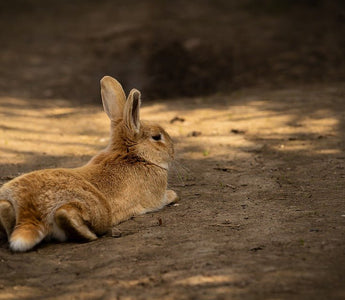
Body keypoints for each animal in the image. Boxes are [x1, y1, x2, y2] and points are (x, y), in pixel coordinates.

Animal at [0, 75, 177, 251]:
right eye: (156, 137)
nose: (173, 151)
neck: (132, 155)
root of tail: (28, 209)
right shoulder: (156, 198)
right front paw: (173, 195)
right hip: (99, 210)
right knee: (68, 216)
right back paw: (89, 234)